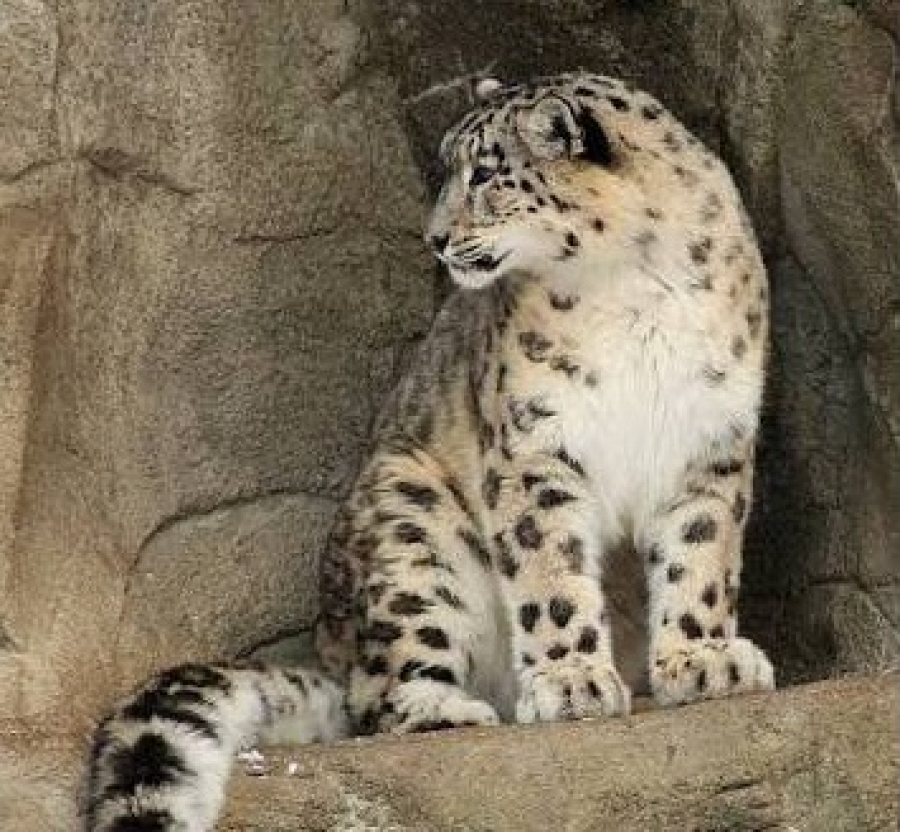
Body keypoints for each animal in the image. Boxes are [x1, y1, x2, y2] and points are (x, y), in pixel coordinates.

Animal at [83, 71, 774, 832]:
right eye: (449, 170)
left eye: (488, 175)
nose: (436, 239)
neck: (632, 282)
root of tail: (333, 650)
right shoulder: (535, 442)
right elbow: (550, 570)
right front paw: (570, 679)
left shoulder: (710, 438)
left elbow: (701, 554)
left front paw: (705, 661)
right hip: (414, 522)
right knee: (381, 695)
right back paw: (451, 708)